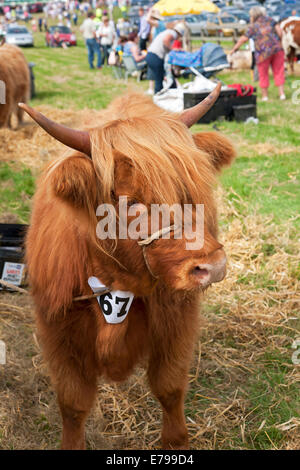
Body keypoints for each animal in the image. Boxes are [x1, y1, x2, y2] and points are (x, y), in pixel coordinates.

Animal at [21, 85, 237, 452]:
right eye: (129, 201)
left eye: (190, 189)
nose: (213, 266)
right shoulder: (58, 331)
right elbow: (73, 404)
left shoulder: (177, 320)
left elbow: (169, 388)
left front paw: (176, 442)